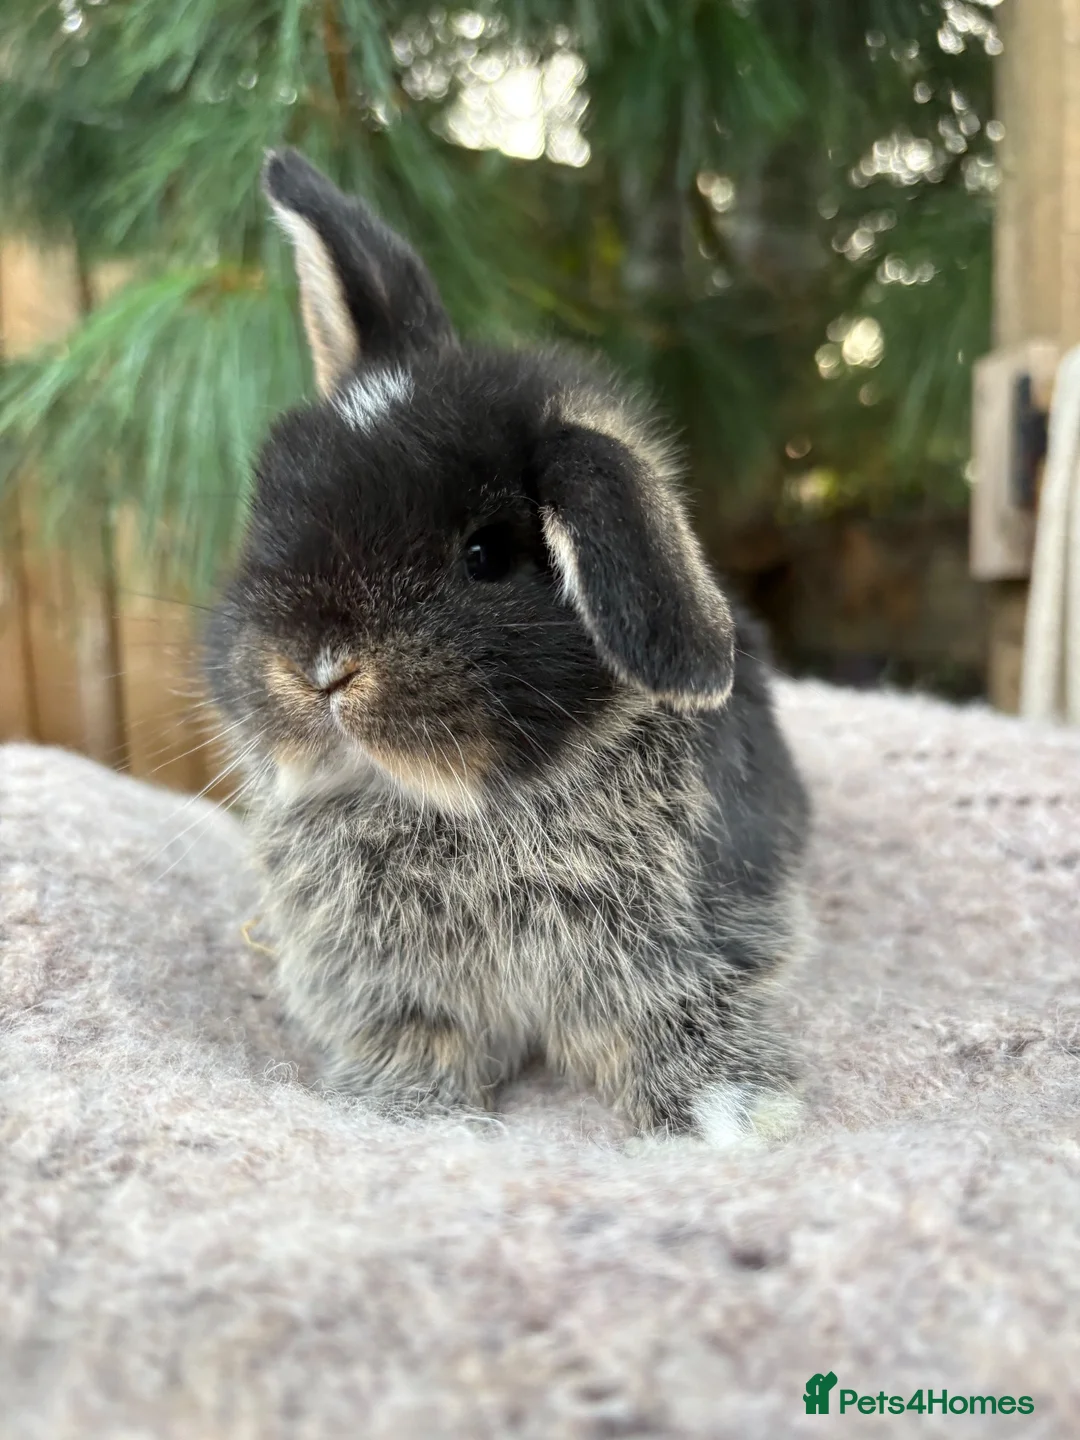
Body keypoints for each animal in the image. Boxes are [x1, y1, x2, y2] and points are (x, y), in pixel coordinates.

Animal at [204, 148, 811, 1147]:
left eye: (485, 556)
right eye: (266, 515)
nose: (317, 669)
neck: (462, 809)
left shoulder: (681, 949)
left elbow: (673, 1023)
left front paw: (736, 1113)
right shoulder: (390, 988)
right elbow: (419, 1043)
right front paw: (401, 1112)